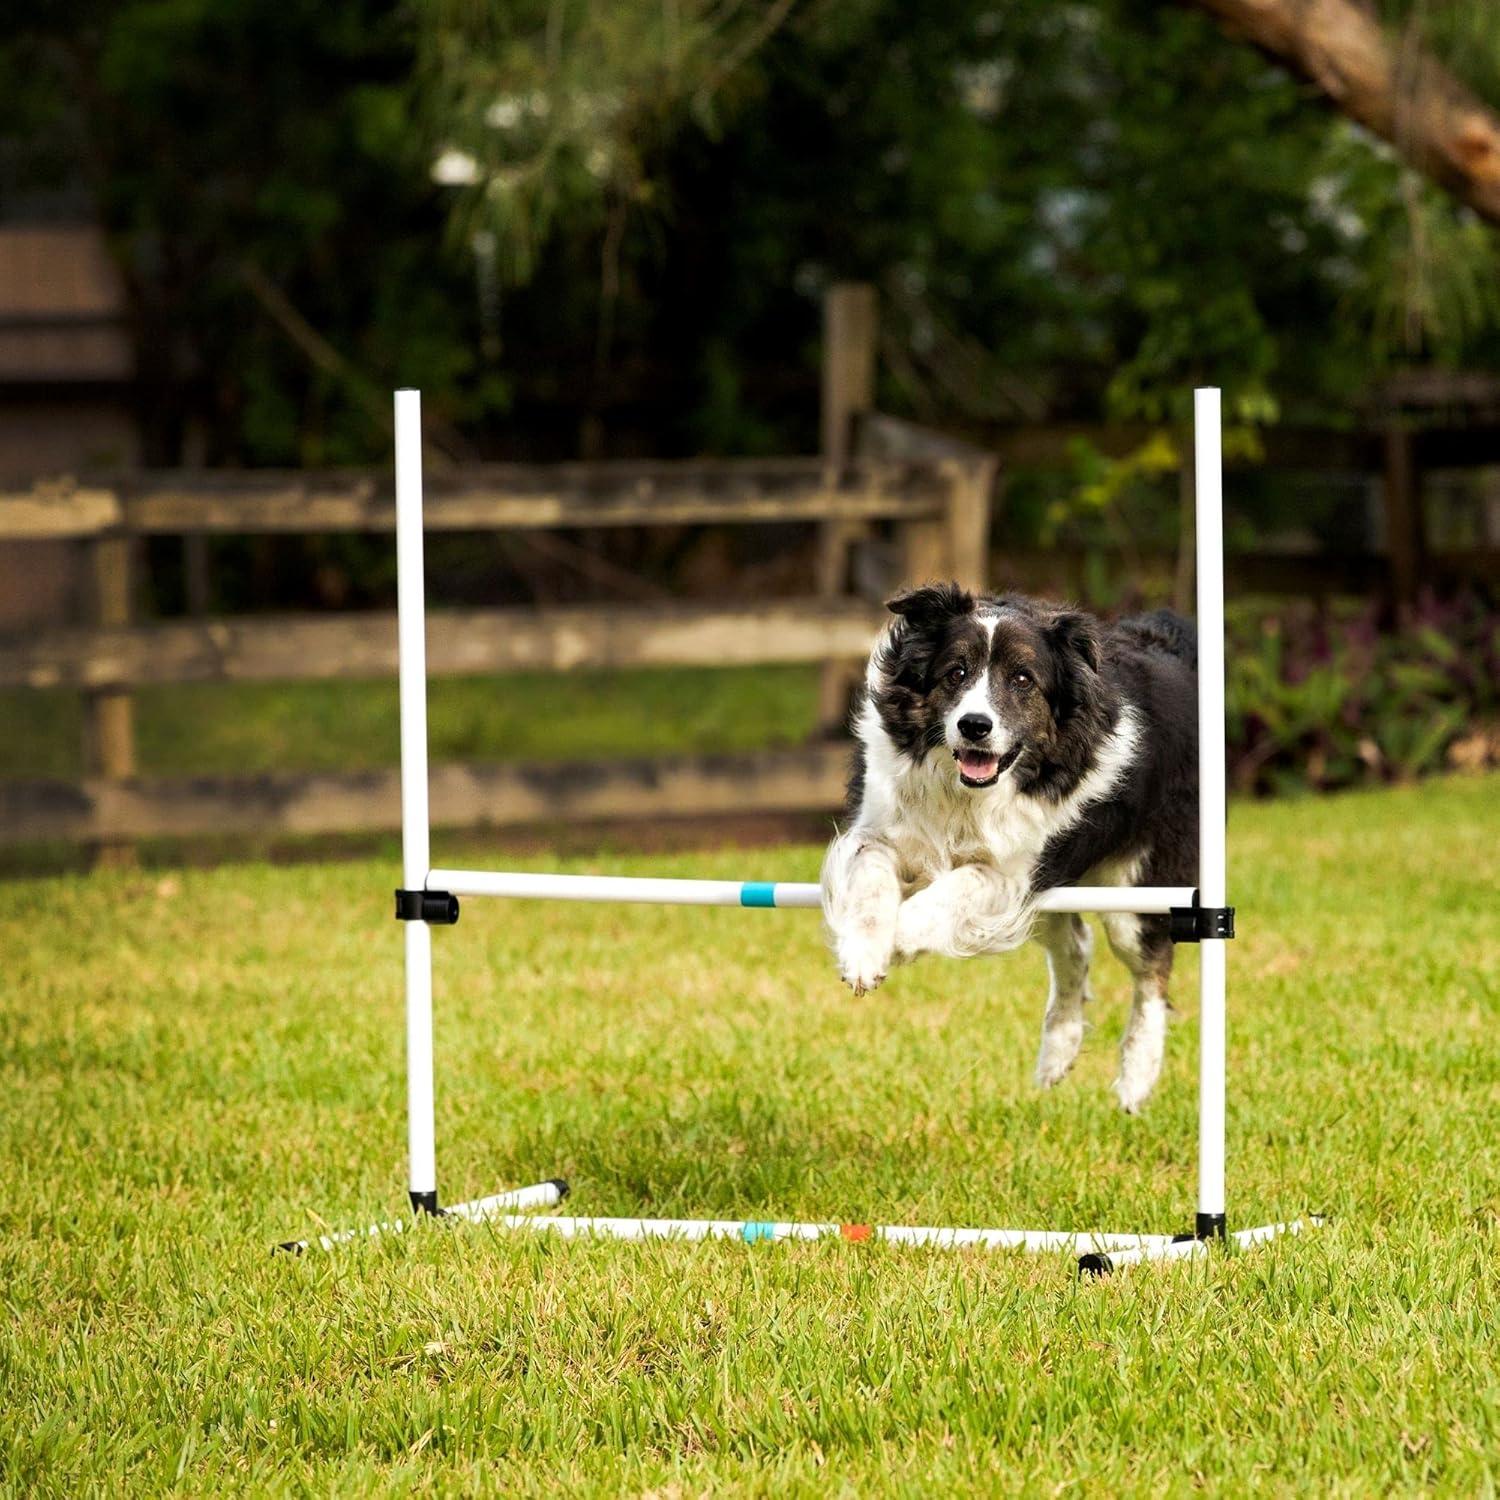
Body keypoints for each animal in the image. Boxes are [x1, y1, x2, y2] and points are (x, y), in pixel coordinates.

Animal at [822, 585, 1194, 1116]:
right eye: (955, 673)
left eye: (1022, 680)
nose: (974, 725)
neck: (967, 793)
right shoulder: (880, 832)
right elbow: (871, 878)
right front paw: (863, 953)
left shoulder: (1012, 875)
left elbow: (952, 889)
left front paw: (900, 940)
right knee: (1075, 944)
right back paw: (1058, 1051)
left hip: (1137, 892)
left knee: (1151, 973)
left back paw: (1136, 1079)